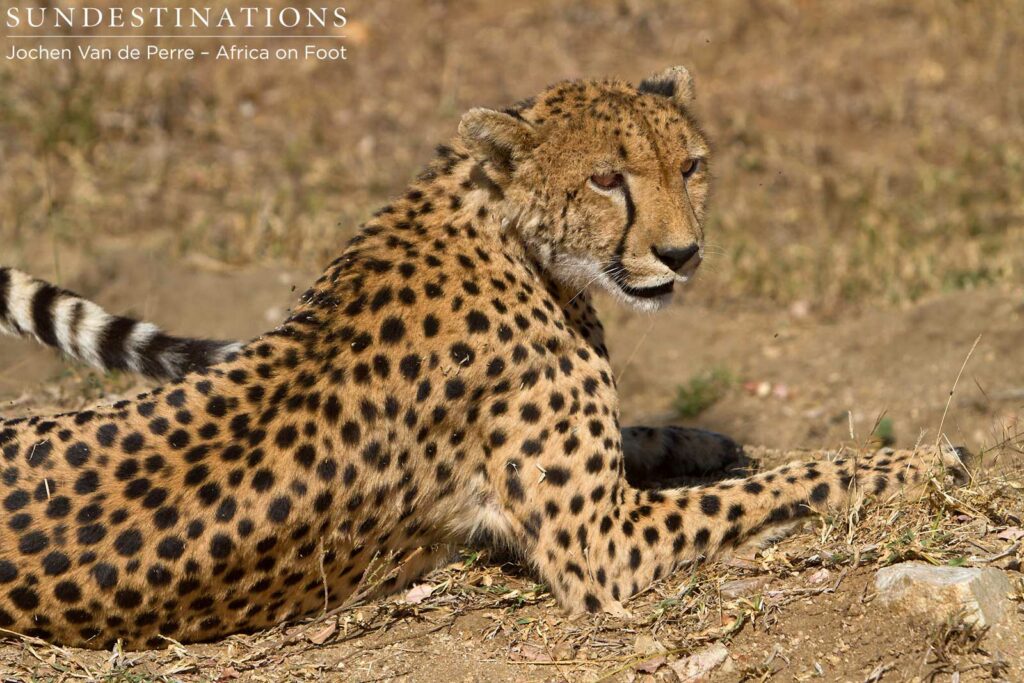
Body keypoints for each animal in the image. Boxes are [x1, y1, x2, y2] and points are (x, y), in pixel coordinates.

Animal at [0, 66, 967, 650]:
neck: (507, 230)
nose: (683, 254)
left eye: (690, 166)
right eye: (606, 179)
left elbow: (654, 437)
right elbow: (791, 480)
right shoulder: (606, 548)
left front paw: (703, 438)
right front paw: (915, 461)